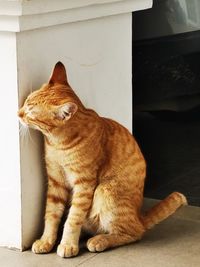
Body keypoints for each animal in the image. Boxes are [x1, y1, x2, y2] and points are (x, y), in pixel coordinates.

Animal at [18, 61, 187, 258]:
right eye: (25, 101)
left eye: (30, 112)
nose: (18, 113)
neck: (57, 144)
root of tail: (139, 216)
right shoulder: (56, 181)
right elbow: (52, 215)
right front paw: (46, 241)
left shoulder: (84, 184)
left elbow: (73, 218)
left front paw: (67, 244)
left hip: (105, 191)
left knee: (134, 233)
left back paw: (99, 240)